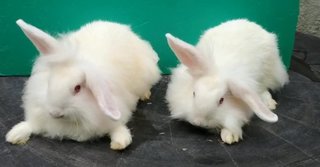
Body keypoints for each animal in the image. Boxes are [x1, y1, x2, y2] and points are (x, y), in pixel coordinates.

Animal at [6, 19, 162, 150]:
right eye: (49, 82)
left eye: (77, 88)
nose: (55, 113)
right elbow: (31, 125)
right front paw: (15, 134)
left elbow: (117, 127)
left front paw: (120, 142)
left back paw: (145, 95)